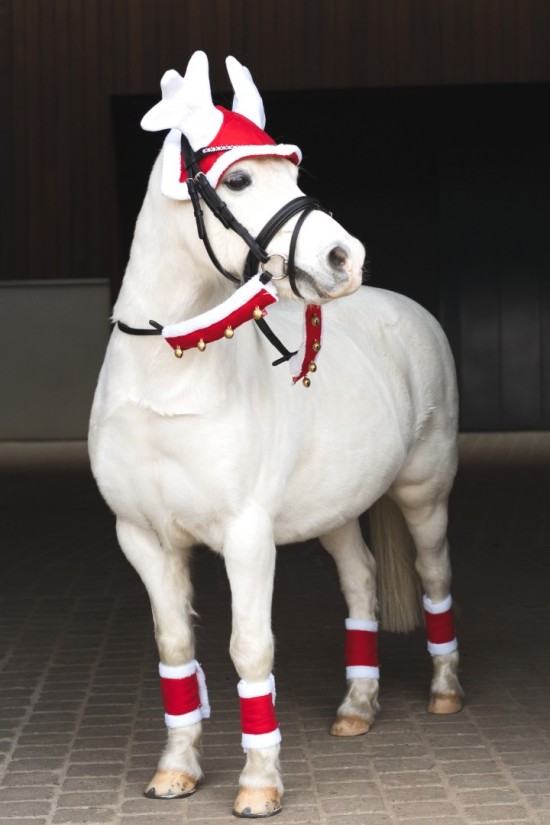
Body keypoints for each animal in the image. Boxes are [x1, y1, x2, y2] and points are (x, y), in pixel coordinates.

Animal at [88, 50, 463, 818]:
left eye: (292, 174)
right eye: (238, 178)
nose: (345, 257)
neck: (170, 375)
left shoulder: (246, 536)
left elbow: (250, 648)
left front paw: (259, 782)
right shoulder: (143, 539)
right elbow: (176, 649)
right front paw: (175, 770)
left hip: (424, 494)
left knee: (435, 574)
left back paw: (444, 691)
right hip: (337, 510)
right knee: (361, 583)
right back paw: (356, 706)